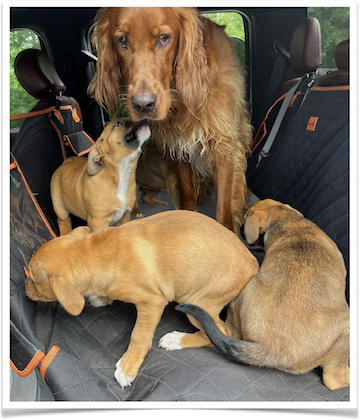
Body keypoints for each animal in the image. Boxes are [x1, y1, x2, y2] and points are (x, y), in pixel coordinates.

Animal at [24, 212, 258, 388]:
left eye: (34, 280)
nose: (24, 289)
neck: (94, 253)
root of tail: (252, 261)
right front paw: (101, 298)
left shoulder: (152, 302)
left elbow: (139, 336)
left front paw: (128, 367)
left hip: (198, 302)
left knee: (220, 333)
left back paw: (176, 340)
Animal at [89, 6, 253, 230]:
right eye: (122, 40)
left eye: (164, 38)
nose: (144, 105)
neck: (182, 100)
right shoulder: (179, 146)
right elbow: (186, 190)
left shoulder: (224, 147)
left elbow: (224, 207)